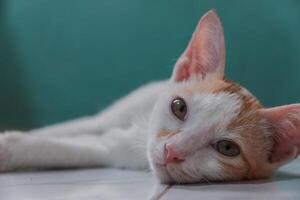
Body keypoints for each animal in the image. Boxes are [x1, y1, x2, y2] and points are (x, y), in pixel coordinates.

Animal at [0, 10, 300, 184]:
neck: (139, 133)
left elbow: (59, 148)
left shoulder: (110, 151)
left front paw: (11, 147)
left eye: (227, 148)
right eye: (179, 107)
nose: (172, 151)